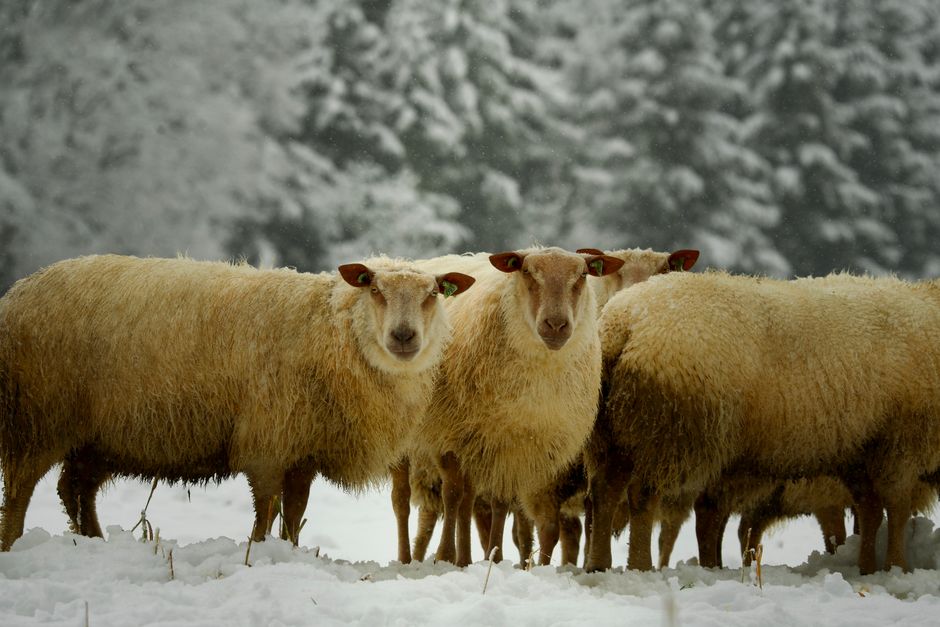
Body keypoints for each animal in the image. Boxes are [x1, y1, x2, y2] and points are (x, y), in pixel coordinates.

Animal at [0, 254, 474, 550]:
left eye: (433, 294)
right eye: (374, 289)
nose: (403, 336)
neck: (328, 329)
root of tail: (17, 293)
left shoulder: (301, 447)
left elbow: (295, 511)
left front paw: (290, 551)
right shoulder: (267, 440)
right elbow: (266, 508)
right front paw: (258, 551)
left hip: (93, 436)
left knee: (73, 489)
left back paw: (93, 540)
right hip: (38, 417)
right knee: (21, 491)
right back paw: (13, 544)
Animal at [394, 248, 698, 566]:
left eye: (582, 275)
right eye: (527, 271)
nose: (556, 325)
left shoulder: (514, 446)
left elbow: (505, 505)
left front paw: (494, 558)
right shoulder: (452, 438)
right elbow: (455, 497)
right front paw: (450, 557)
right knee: (411, 502)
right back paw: (411, 556)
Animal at [584, 270, 940, 575]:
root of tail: (624, 322)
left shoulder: (862, 450)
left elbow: (871, 513)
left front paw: (868, 567)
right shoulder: (900, 443)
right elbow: (896, 508)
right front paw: (896, 567)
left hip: (615, 434)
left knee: (603, 492)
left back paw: (598, 564)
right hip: (668, 432)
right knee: (642, 499)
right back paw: (639, 565)